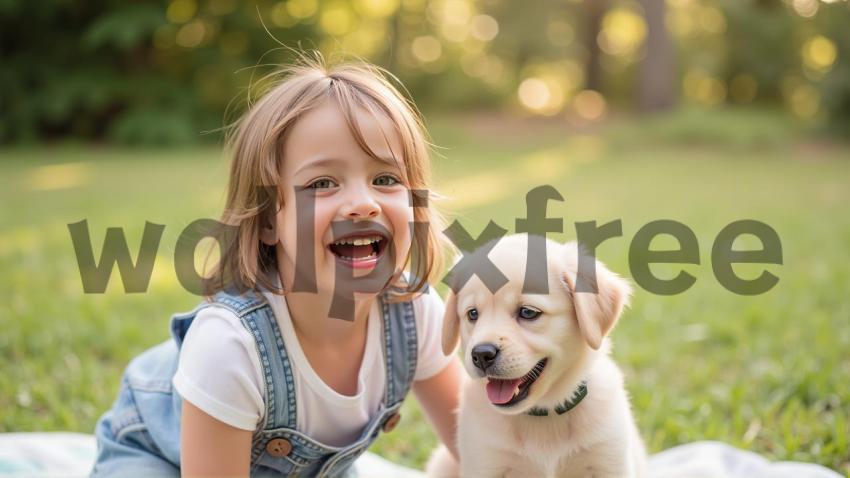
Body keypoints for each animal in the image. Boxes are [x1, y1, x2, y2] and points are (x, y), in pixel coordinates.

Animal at [428, 233, 644, 476]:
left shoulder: (609, 461)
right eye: (472, 314)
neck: (544, 414)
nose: (481, 355)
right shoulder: (483, 462)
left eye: (528, 312)